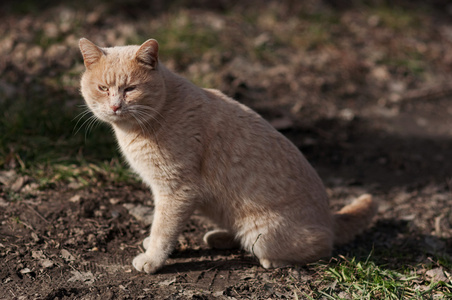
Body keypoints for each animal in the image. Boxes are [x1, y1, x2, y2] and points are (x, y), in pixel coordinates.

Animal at [78, 38, 378, 274]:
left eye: (130, 89)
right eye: (103, 88)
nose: (115, 106)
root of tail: (330, 217)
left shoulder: (176, 191)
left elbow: (163, 228)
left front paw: (152, 258)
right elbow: (158, 224)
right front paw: (151, 244)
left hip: (263, 232)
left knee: (320, 248)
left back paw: (272, 259)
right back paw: (220, 237)